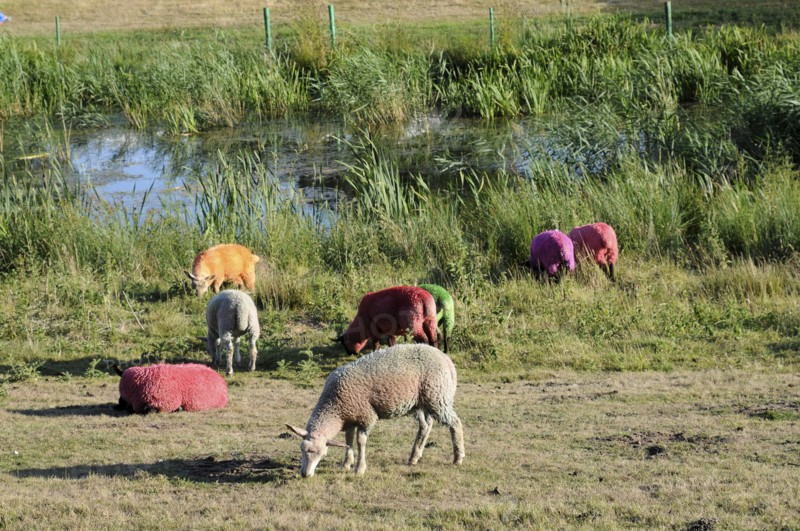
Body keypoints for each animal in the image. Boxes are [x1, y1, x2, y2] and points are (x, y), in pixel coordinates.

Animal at [286, 344, 465, 477]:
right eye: (301, 450)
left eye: (322, 454)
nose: (305, 474)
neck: (335, 406)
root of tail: (445, 358)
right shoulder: (350, 417)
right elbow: (348, 440)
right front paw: (346, 464)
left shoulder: (366, 417)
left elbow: (360, 442)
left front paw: (359, 468)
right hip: (420, 402)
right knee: (426, 425)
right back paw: (414, 457)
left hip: (437, 396)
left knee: (455, 423)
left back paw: (458, 457)